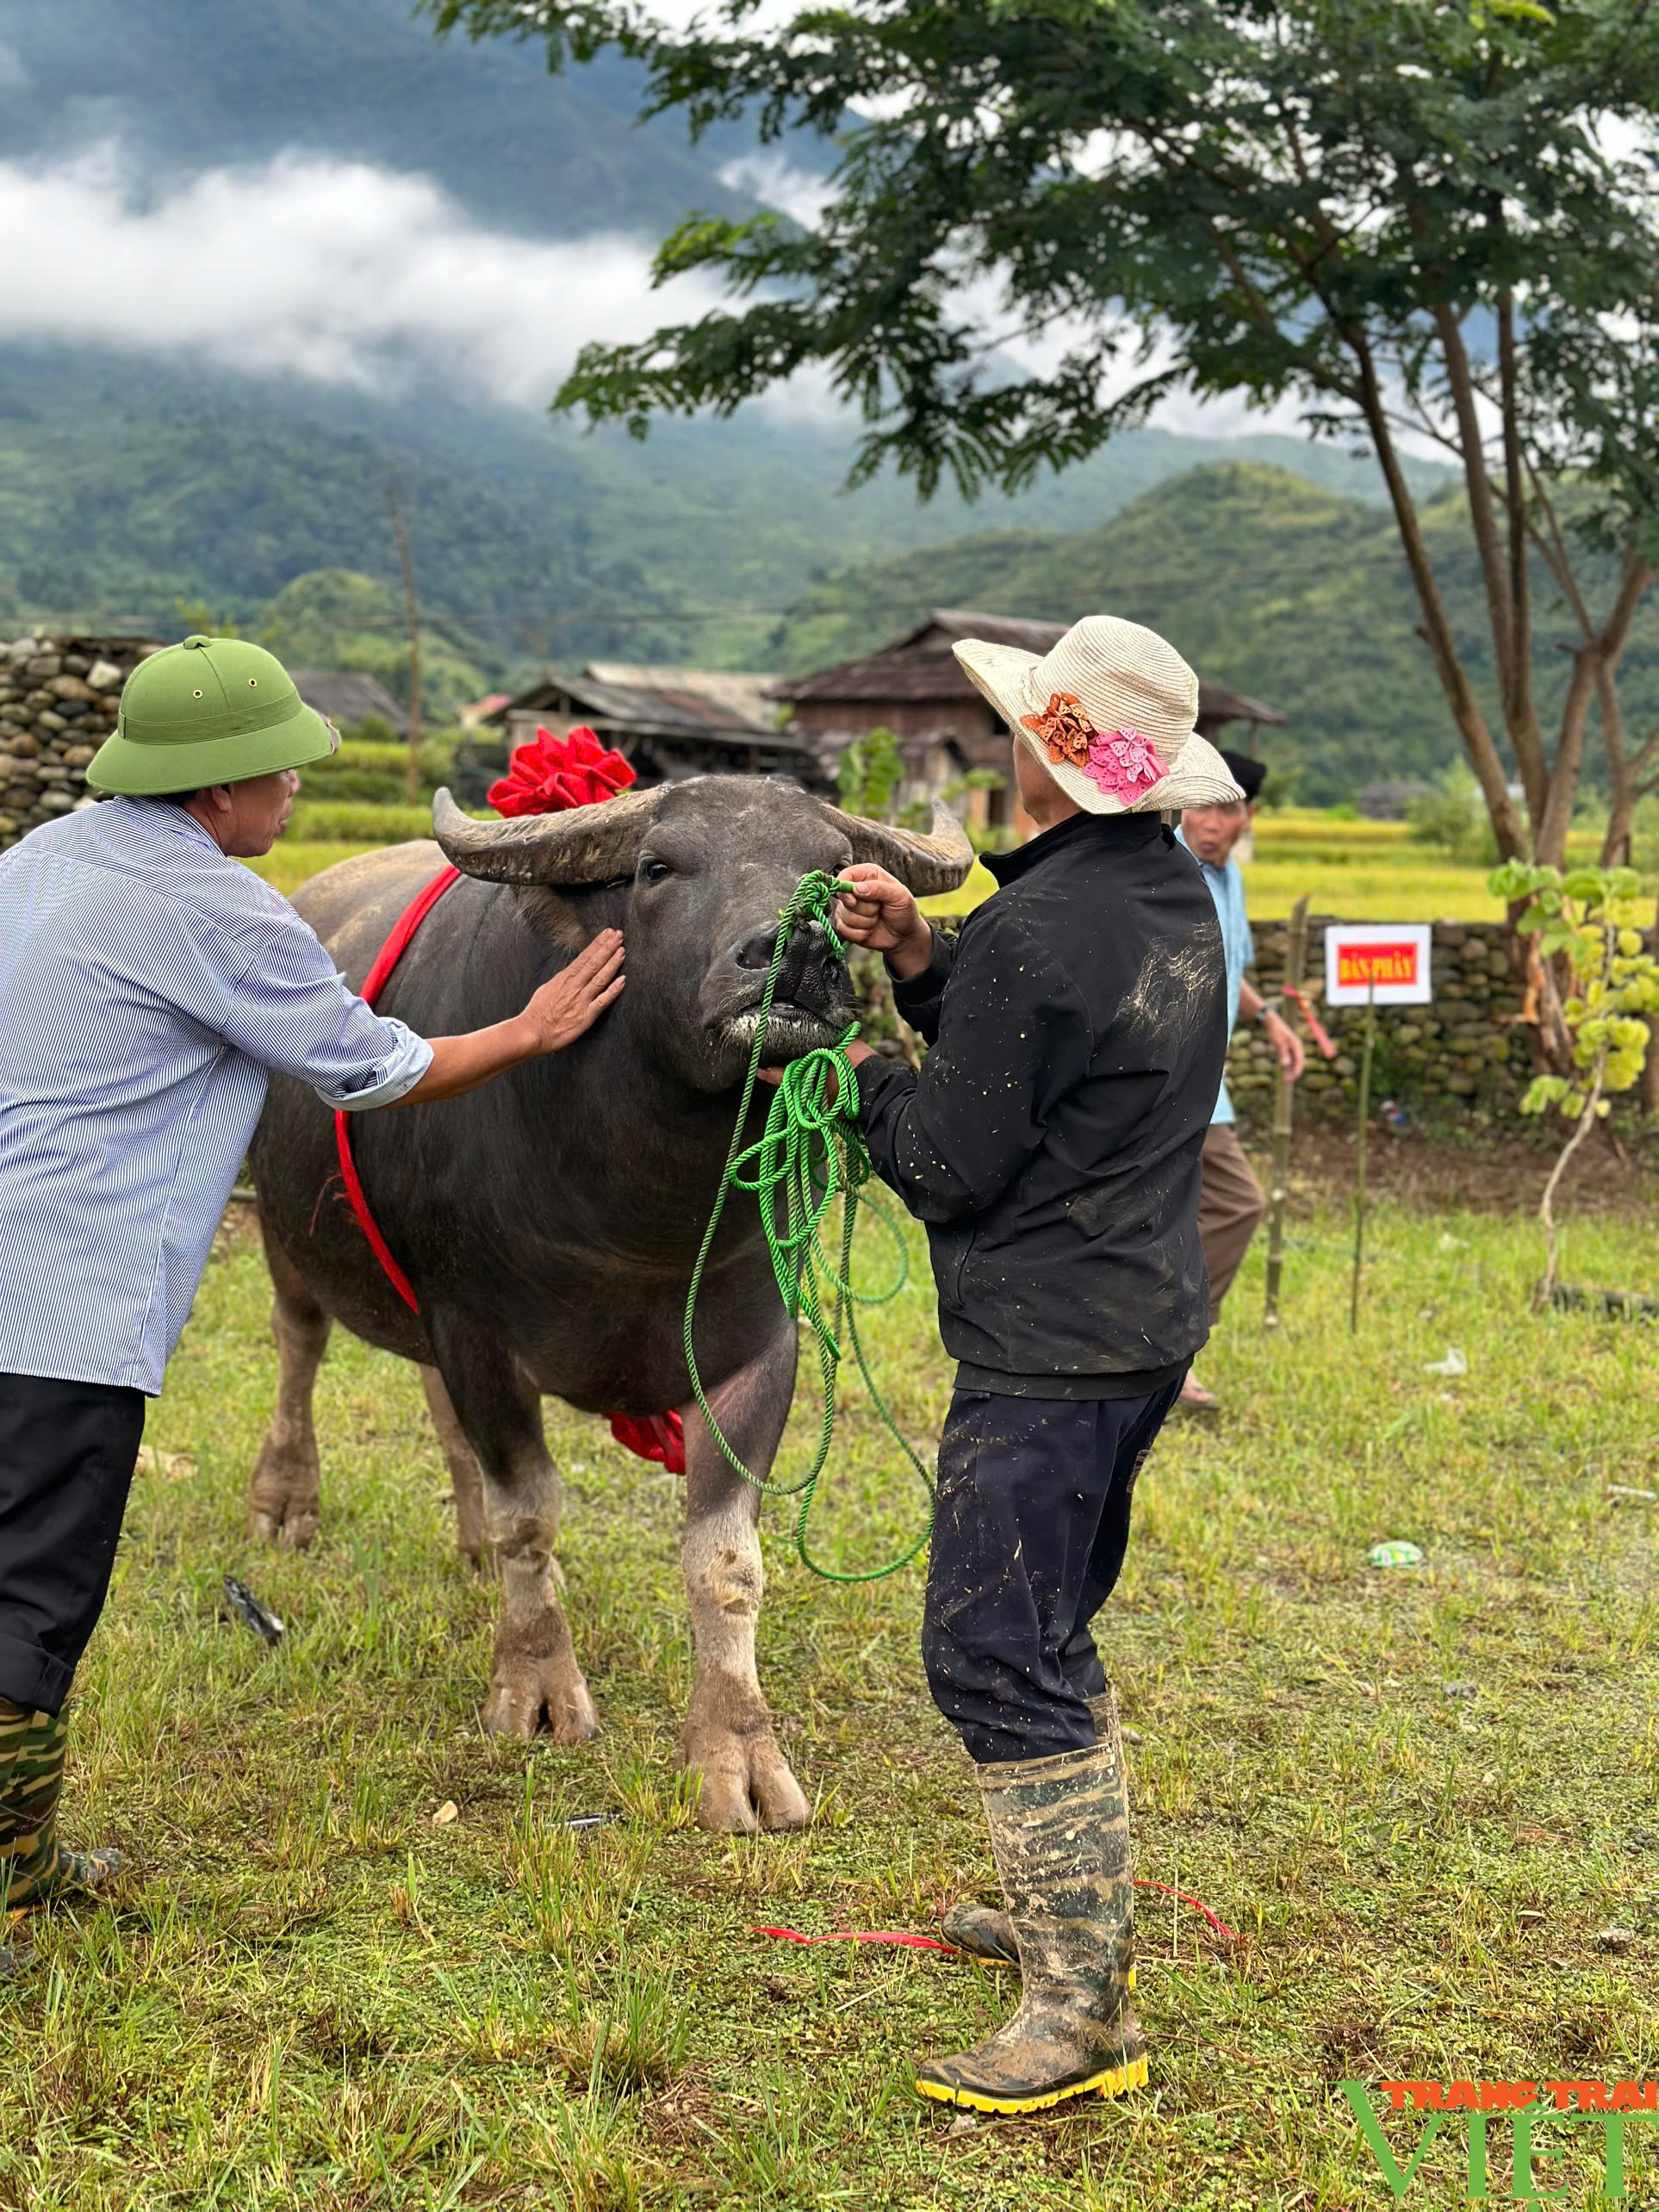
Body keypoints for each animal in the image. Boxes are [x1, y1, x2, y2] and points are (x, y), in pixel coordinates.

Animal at [246, 778, 972, 1831]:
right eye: (657, 866)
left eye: (835, 874)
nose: (795, 953)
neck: (642, 1218)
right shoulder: (477, 1332)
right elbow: (531, 1516)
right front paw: (537, 1692)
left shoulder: (760, 1351)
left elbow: (727, 1560)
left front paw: (737, 1752)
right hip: (284, 1237)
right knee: (298, 1348)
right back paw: (285, 1502)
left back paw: (465, 1542)